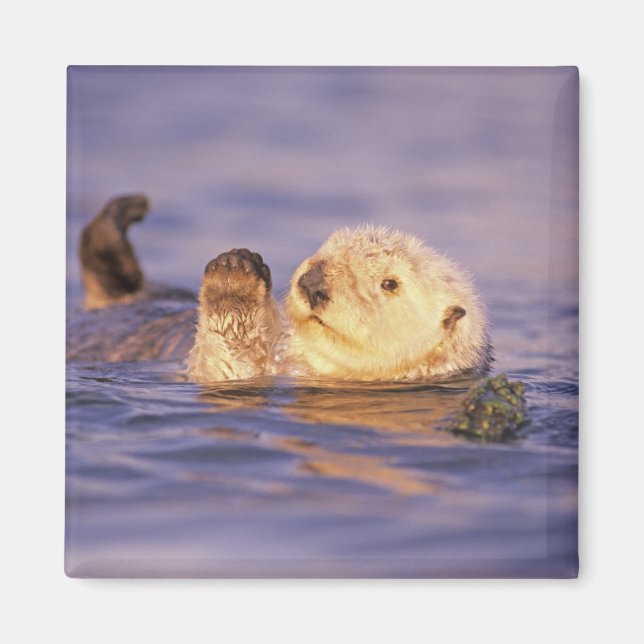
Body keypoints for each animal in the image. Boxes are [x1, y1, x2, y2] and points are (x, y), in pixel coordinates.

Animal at [69, 195, 491, 381]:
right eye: (326, 248)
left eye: (390, 283)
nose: (313, 281)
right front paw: (238, 260)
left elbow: (225, 364)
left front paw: (234, 277)